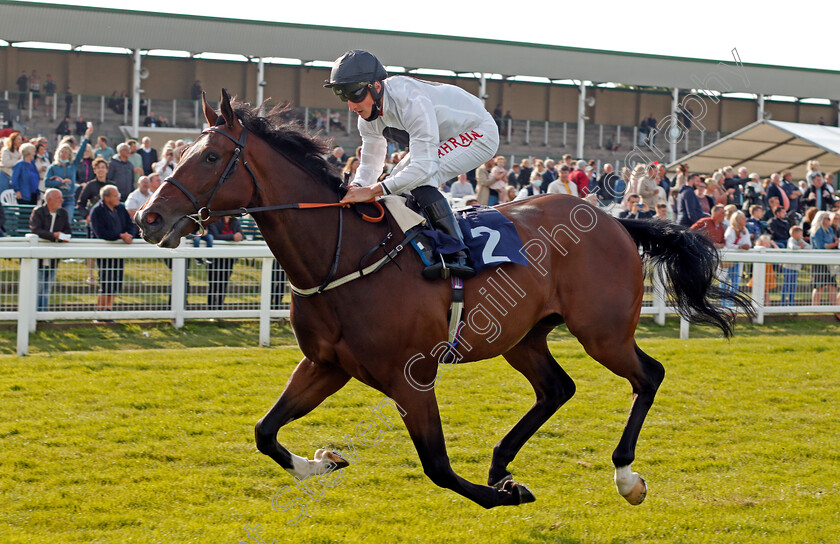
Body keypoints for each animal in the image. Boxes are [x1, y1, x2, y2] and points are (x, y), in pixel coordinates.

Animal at [136, 90, 756, 510]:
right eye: (181, 151)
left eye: (210, 157)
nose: (148, 218)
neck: (342, 256)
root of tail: (614, 220)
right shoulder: (325, 365)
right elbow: (265, 432)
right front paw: (323, 463)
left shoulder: (410, 378)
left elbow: (436, 466)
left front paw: (506, 497)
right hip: (523, 335)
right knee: (558, 388)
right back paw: (502, 464)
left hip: (602, 330)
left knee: (647, 376)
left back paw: (624, 477)